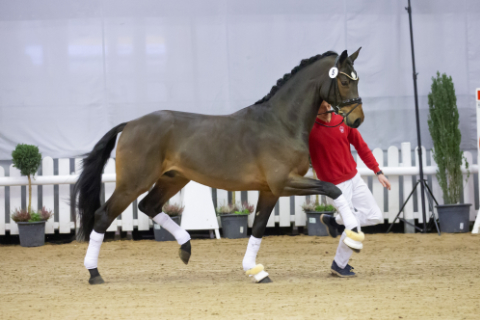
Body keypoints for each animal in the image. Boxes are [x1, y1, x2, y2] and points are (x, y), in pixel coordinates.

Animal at [75, 46, 366, 284]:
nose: (358, 119)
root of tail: (130, 124)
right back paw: (93, 273)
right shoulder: (284, 182)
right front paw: (353, 235)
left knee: (149, 206)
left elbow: (258, 228)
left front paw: (255, 271)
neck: (281, 124)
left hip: (173, 178)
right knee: (103, 216)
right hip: (133, 182)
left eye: (358, 79)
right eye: (343, 80)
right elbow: (333, 189)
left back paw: (186, 247)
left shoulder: (270, 190)